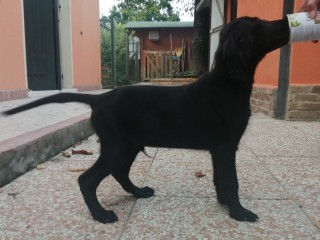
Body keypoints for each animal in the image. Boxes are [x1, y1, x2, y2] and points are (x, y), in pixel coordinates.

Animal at [3, 16, 290, 223]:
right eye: (259, 24)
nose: (286, 22)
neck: (228, 83)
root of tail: (99, 99)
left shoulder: (219, 149)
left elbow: (221, 179)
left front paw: (225, 204)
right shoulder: (225, 147)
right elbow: (232, 182)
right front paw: (240, 213)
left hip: (128, 145)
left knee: (119, 173)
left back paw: (138, 192)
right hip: (117, 146)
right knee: (87, 179)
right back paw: (101, 215)